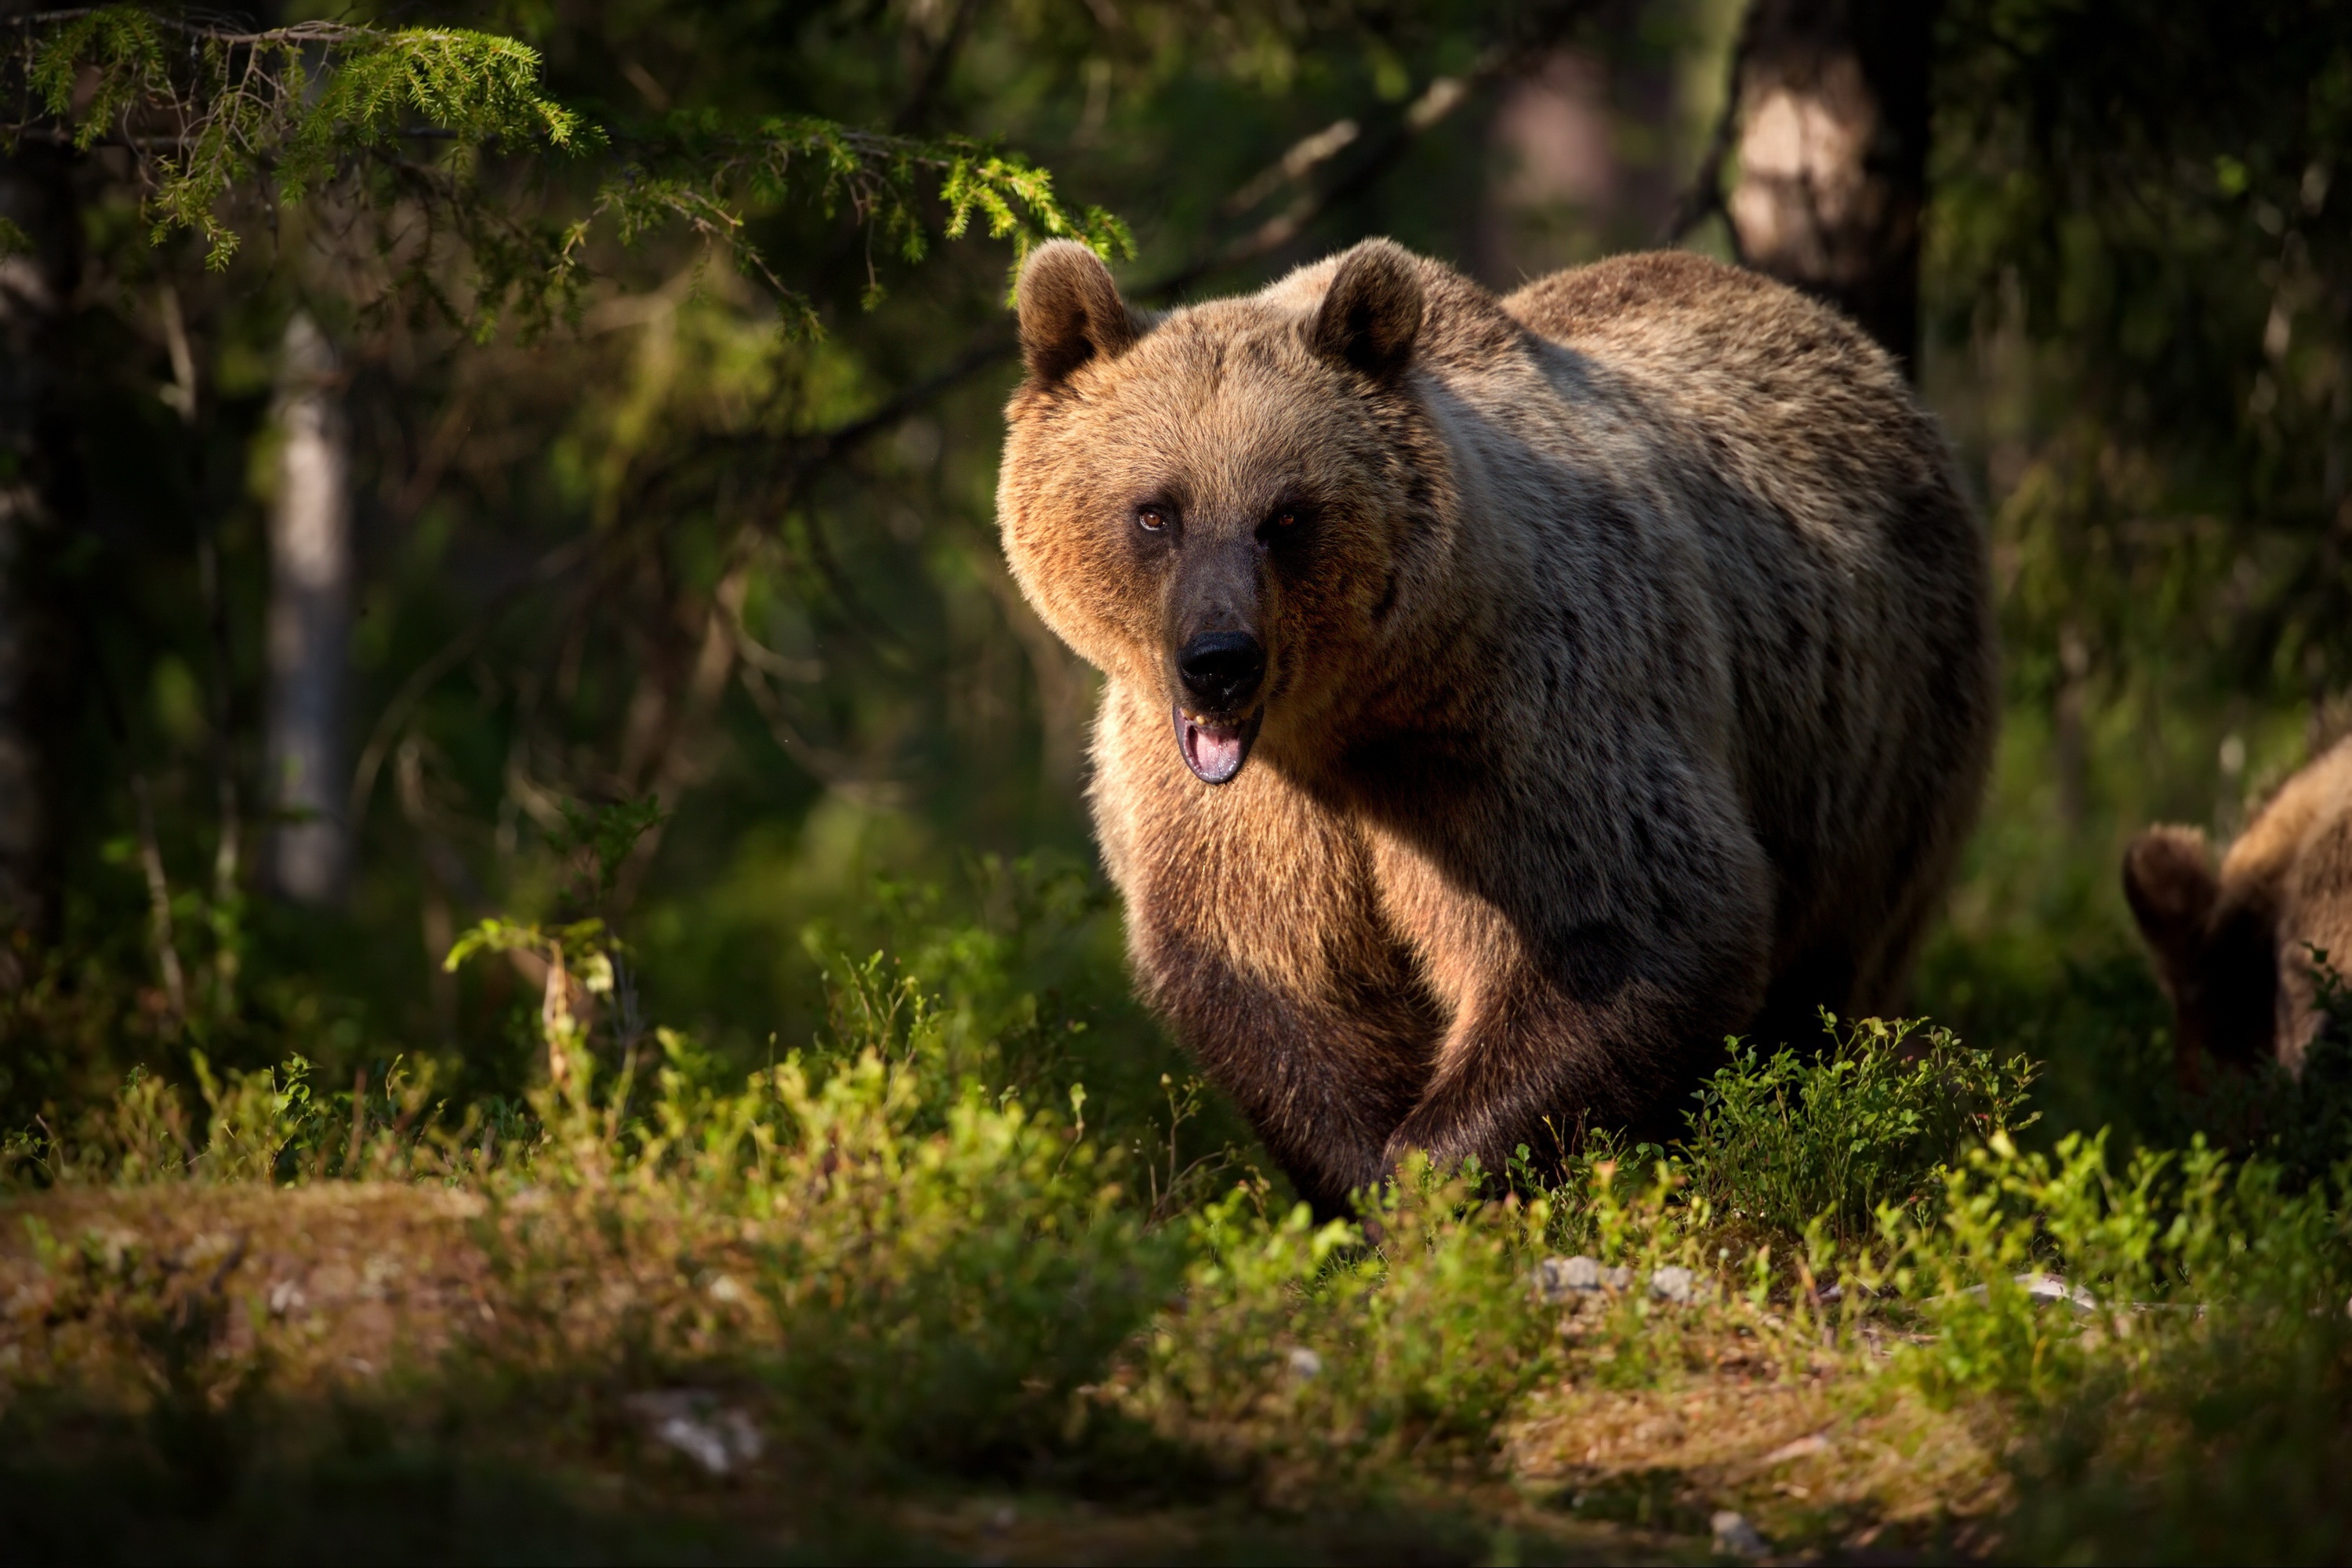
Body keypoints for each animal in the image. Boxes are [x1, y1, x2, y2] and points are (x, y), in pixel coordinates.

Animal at [988, 239, 1985, 1213]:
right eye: (1157, 509)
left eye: (1287, 514)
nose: (1220, 659)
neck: (1346, 719)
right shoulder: (1236, 809)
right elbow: (1269, 967)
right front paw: (1363, 1183)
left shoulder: (1522, 727)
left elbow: (1630, 926)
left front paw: (1435, 1177)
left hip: (1881, 747)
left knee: (1828, 978)